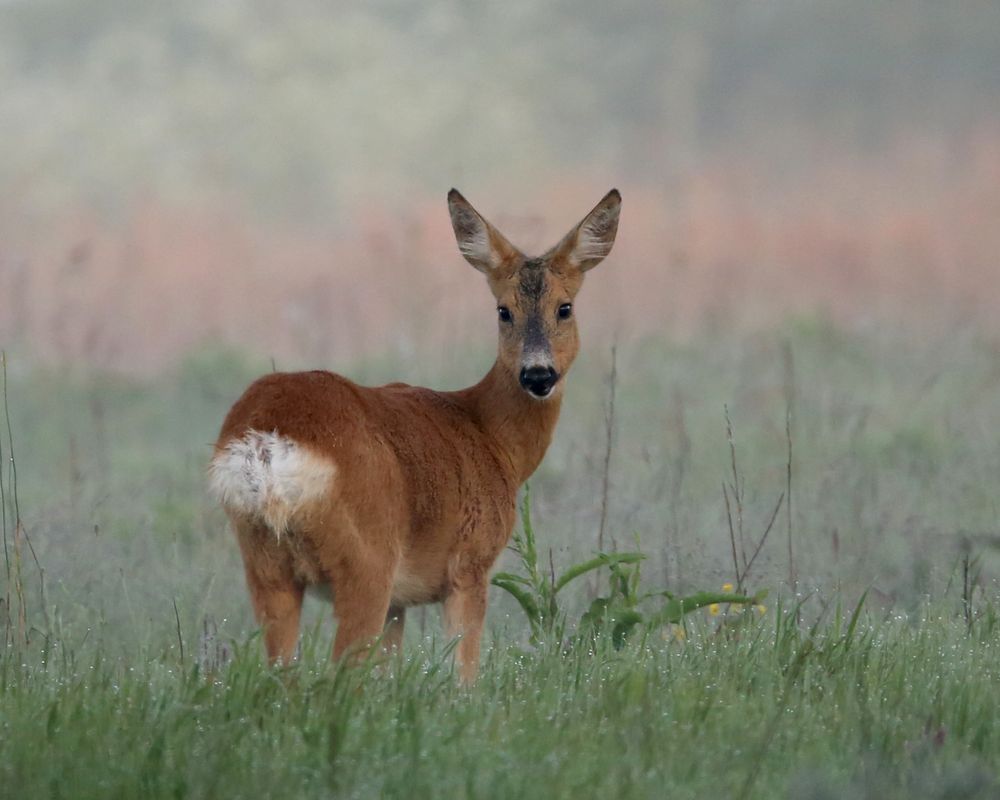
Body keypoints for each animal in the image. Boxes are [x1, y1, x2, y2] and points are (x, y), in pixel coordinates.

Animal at [208, 188, 620, 680]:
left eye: (565, 307)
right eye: (504, 311)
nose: (538, 375)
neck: (492, 438)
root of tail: (267, 441)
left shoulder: (399, 604)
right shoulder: (470, 565)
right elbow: (464, 675)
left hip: (264, 562)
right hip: (367, 561)